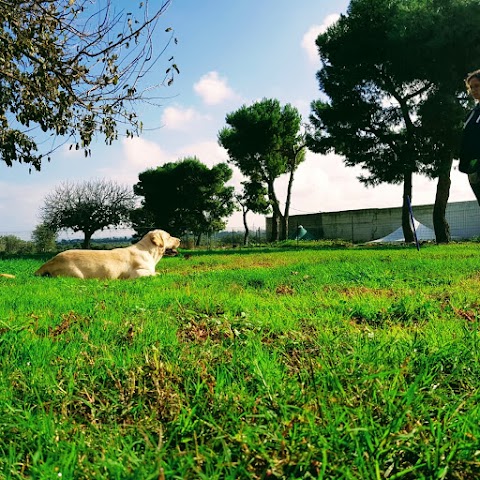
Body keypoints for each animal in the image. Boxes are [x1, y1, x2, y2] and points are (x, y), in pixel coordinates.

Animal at [0, 230, 180, 280]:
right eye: (169, 236)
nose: (179, 240)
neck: (148, 252)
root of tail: (49, 261)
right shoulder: (137, 274)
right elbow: (155, 274)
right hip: (75, 275)